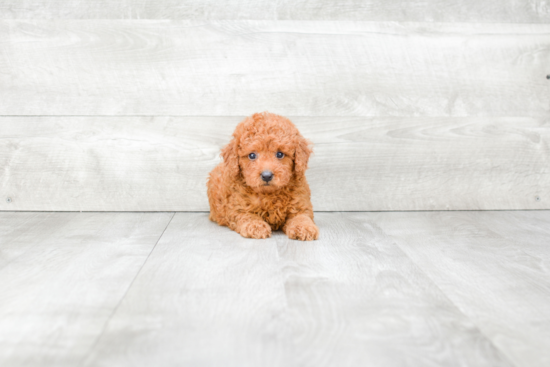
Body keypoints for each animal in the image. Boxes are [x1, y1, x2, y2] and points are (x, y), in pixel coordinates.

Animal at [207, 111, 320, 242]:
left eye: (280, 154)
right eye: (252, 155)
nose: (266, 176)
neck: (269, 194)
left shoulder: (300, 204)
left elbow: (301, 216)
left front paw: (304, 227)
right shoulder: (237, 207)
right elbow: (247, 216)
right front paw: (256, 226)